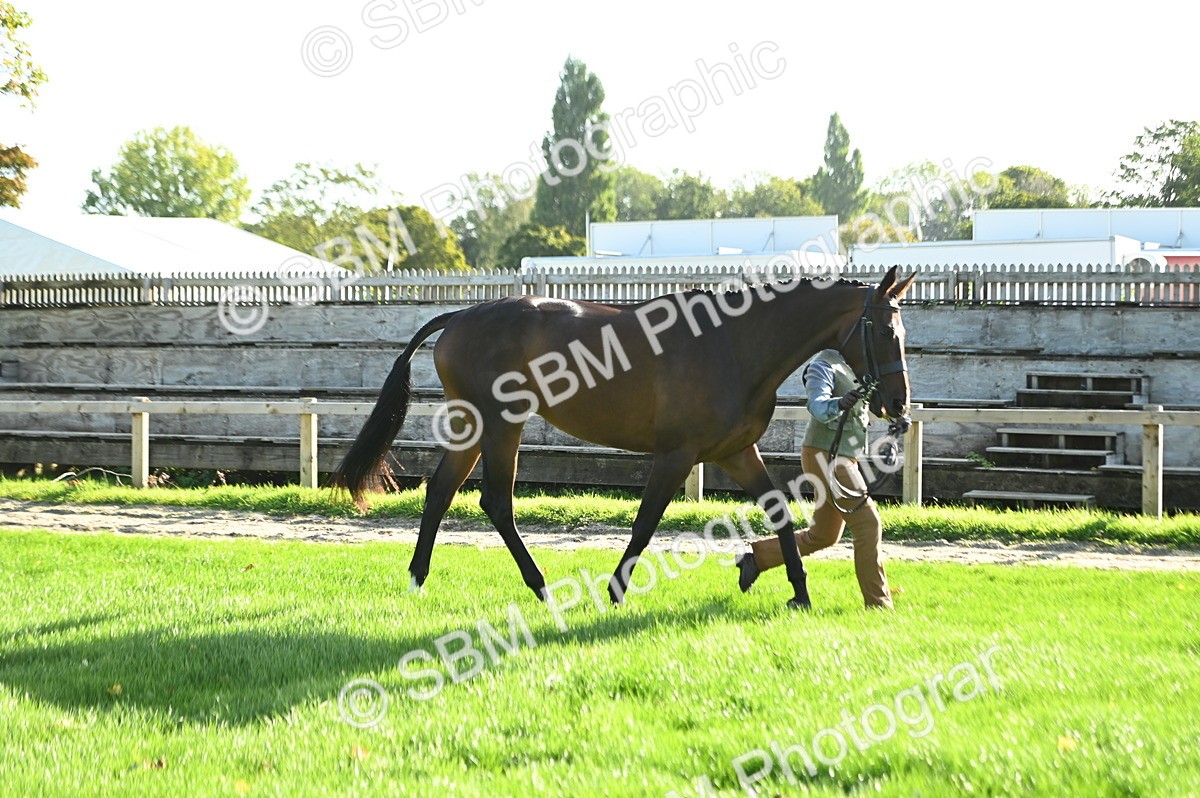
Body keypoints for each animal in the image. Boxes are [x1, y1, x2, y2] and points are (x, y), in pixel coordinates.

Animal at [330, 265, 916, 610]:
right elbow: (644, 524)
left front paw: (798, 593)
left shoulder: (733, 451)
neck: (733, 345)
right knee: (496, 501)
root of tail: (459, 316)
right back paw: (541, 587)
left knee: (440, 492)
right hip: (502, 423)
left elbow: (780, 513)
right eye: (886, 330)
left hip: (476, 425)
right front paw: (614, 592)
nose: (898, 405)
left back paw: (417, 579)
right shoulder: (676, 454)